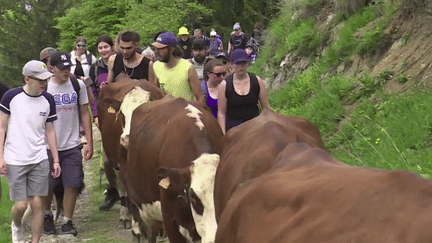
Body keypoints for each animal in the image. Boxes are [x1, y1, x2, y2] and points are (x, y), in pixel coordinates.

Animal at [97, 77, 165, 229]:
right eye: (122, 114)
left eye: (144, 113)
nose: (127, 137)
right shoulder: (123, 166)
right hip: (114, 162)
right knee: (122, 189)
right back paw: (125, 215)